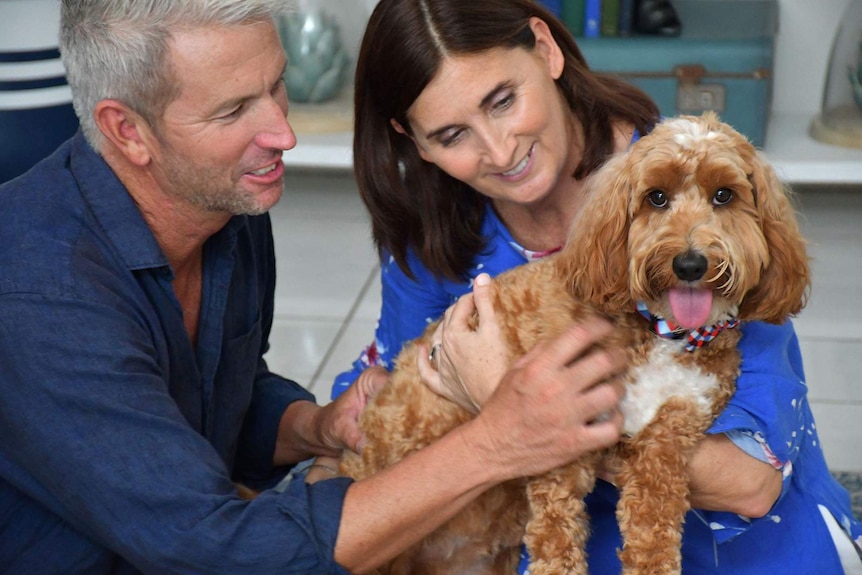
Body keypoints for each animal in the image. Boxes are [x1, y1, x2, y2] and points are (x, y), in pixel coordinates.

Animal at [340, 113, 812, 575]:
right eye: (657, 197)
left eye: (723, 196)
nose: (690, 263)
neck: (662, 331)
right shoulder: (560, 437)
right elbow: (556, 533)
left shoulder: (673, 430)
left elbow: (654, 523)